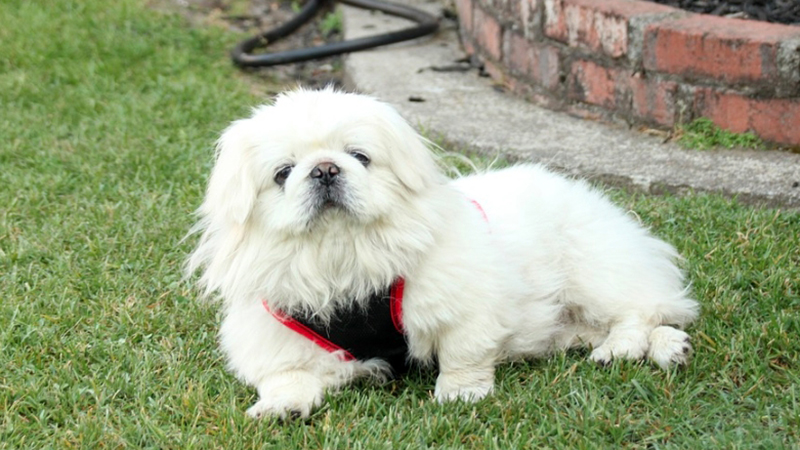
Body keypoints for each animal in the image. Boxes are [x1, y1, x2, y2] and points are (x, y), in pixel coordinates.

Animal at [189, 88, 700, 418]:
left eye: (360, 156)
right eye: (283, 173)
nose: (326, 169)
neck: (343, 254)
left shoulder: (465, 311)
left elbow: (463, 356)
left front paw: (459, 394)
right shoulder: (278, 336)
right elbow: (286, 376)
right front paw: (281, 406)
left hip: (595, 271)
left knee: (642, 309)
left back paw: (625, 348)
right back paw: (668, 348)